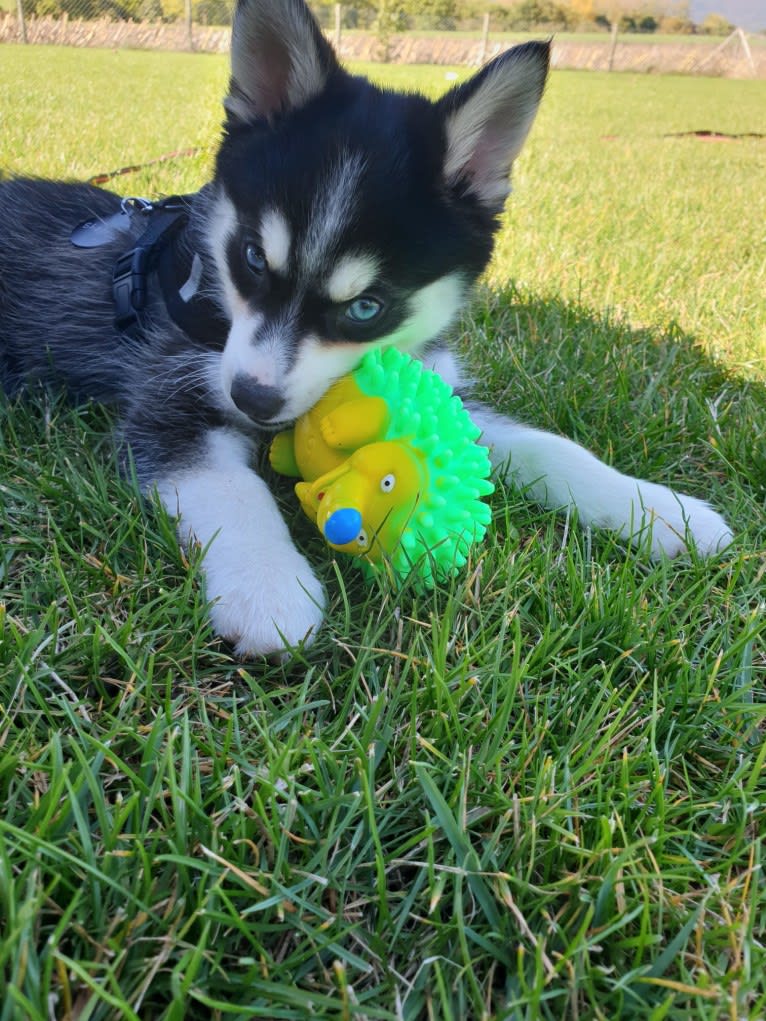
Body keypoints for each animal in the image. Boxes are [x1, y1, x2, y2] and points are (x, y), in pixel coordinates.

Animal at [0, 0, 731, 653]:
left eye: (366, 308)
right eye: (252, 258)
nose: (252, 399)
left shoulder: (432, 390)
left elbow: (550, 447)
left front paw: (661, 511)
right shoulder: (170, 400)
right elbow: (231, 488)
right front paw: (268, 588)